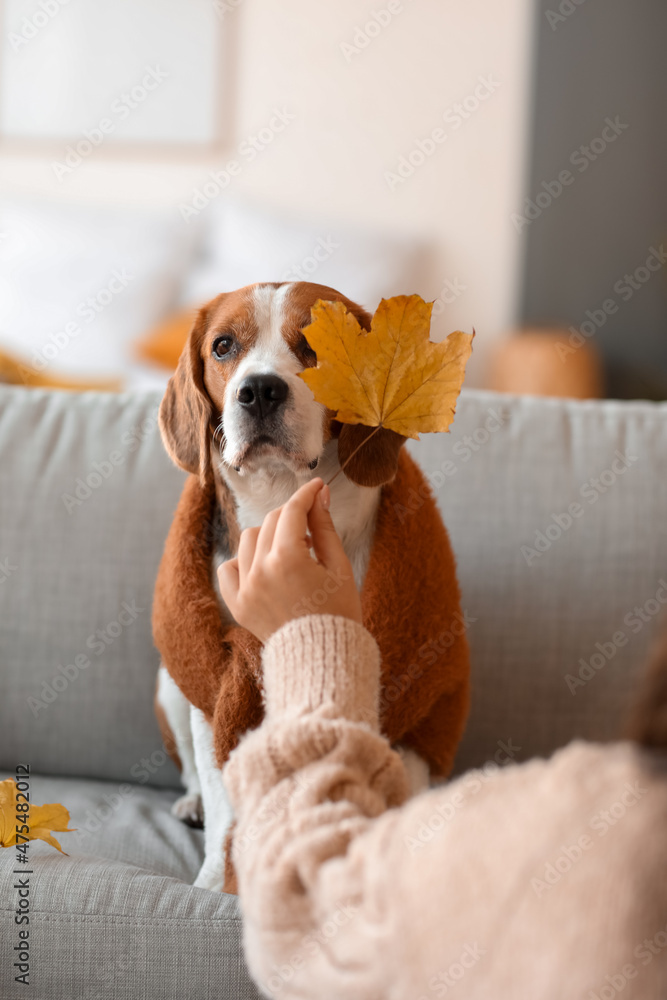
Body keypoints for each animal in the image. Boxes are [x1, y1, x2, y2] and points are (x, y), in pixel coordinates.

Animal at [155, 282, 472, 892]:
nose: (259, 390)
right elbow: (223, 792)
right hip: (170, 685)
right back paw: (190, 803)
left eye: (314, 343)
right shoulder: (216, 678)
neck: (280, 503)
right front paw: (211, 881)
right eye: (223, 345)